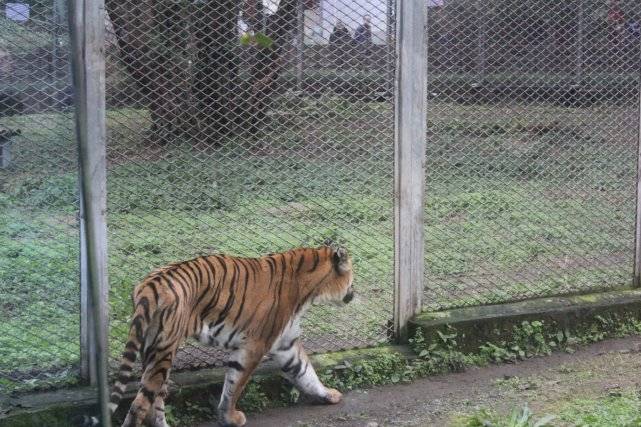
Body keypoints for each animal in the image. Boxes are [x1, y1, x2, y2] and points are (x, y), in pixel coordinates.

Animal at [107, 246, 352, 426]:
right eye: (352, 275)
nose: (353, 293)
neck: (309, 289)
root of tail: (149, 285)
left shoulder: (286, 344)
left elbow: (305, 372)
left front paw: (328, 395)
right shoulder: (254, 346)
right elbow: (235, 384)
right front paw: (230, 417)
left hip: (154, 353)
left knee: (155, 400)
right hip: (164, 351)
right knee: (140, 405)